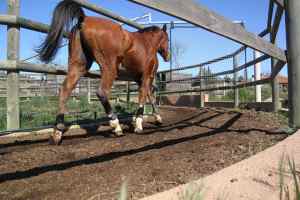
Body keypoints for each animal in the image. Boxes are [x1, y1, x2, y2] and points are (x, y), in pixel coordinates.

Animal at [36, 0, 170, 144]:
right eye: (167, 39)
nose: (167, 56)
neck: (147, 44)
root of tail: (84, 19)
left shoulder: (139, 79)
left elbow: (148, 95)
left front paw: (156, 118)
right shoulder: (146, 76)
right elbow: (144, 95)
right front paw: (139, 125)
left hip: (78, 66)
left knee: (65, 90)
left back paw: (57, 133)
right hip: (109, 68)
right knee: (102, 92)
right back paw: (116, 126)